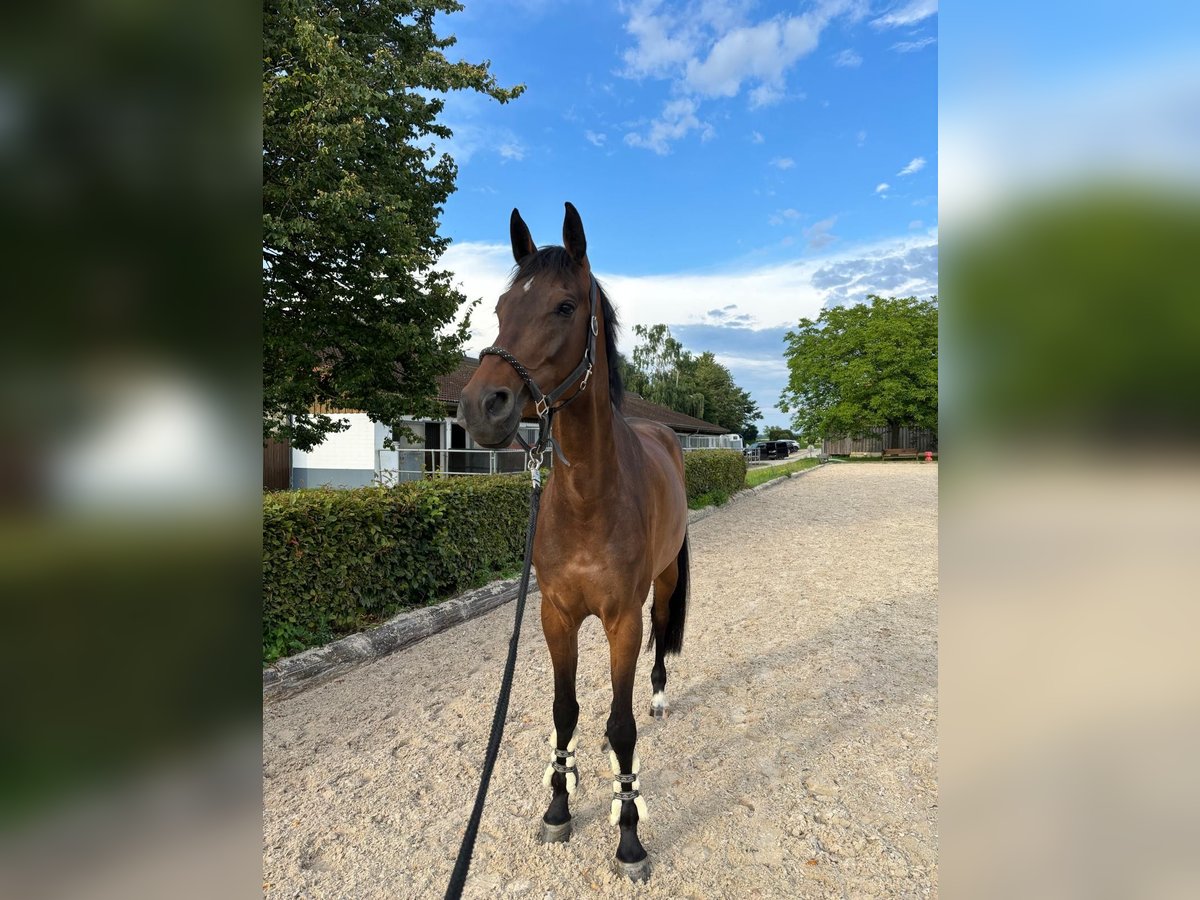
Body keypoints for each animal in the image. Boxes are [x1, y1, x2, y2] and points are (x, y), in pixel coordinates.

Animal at [456, 202, 691, 883]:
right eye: (501, 306)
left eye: (564, 306)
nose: (481, 406)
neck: (589, 496)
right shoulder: (555, 615)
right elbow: (566, 712)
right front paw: (559, 807)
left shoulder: (619, 621)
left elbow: (622, 726)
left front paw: (630, 834)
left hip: (664, 579)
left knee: (661, 632)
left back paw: (660, 695)